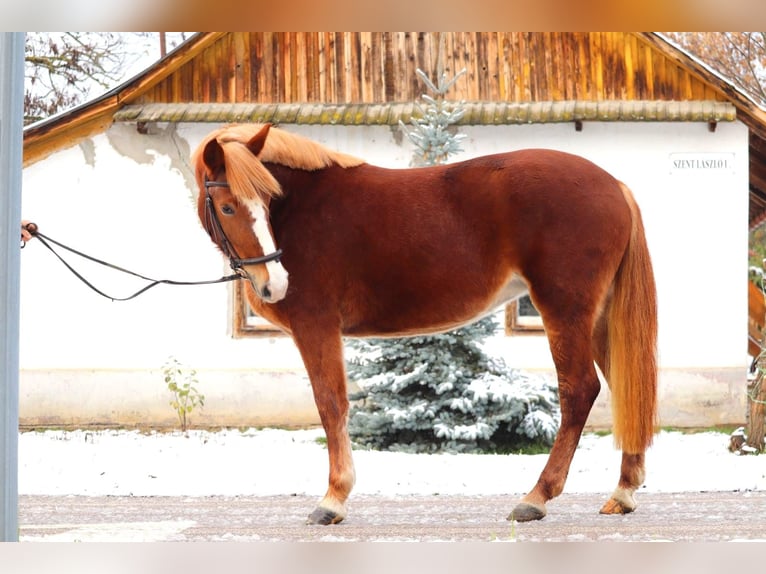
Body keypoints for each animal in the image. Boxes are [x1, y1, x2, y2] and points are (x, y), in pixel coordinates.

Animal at [192, 122, 660, 528]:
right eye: (229, 206)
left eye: (266, 202)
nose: (275, 282)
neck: (305, 208)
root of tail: (614, 186)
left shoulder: (317, 326)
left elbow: (331, 405)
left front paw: (332, 500)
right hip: (597, 317)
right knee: (624, 385)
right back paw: (623, 492)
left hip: (565, 310)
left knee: (579, 390)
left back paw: (536, 497)